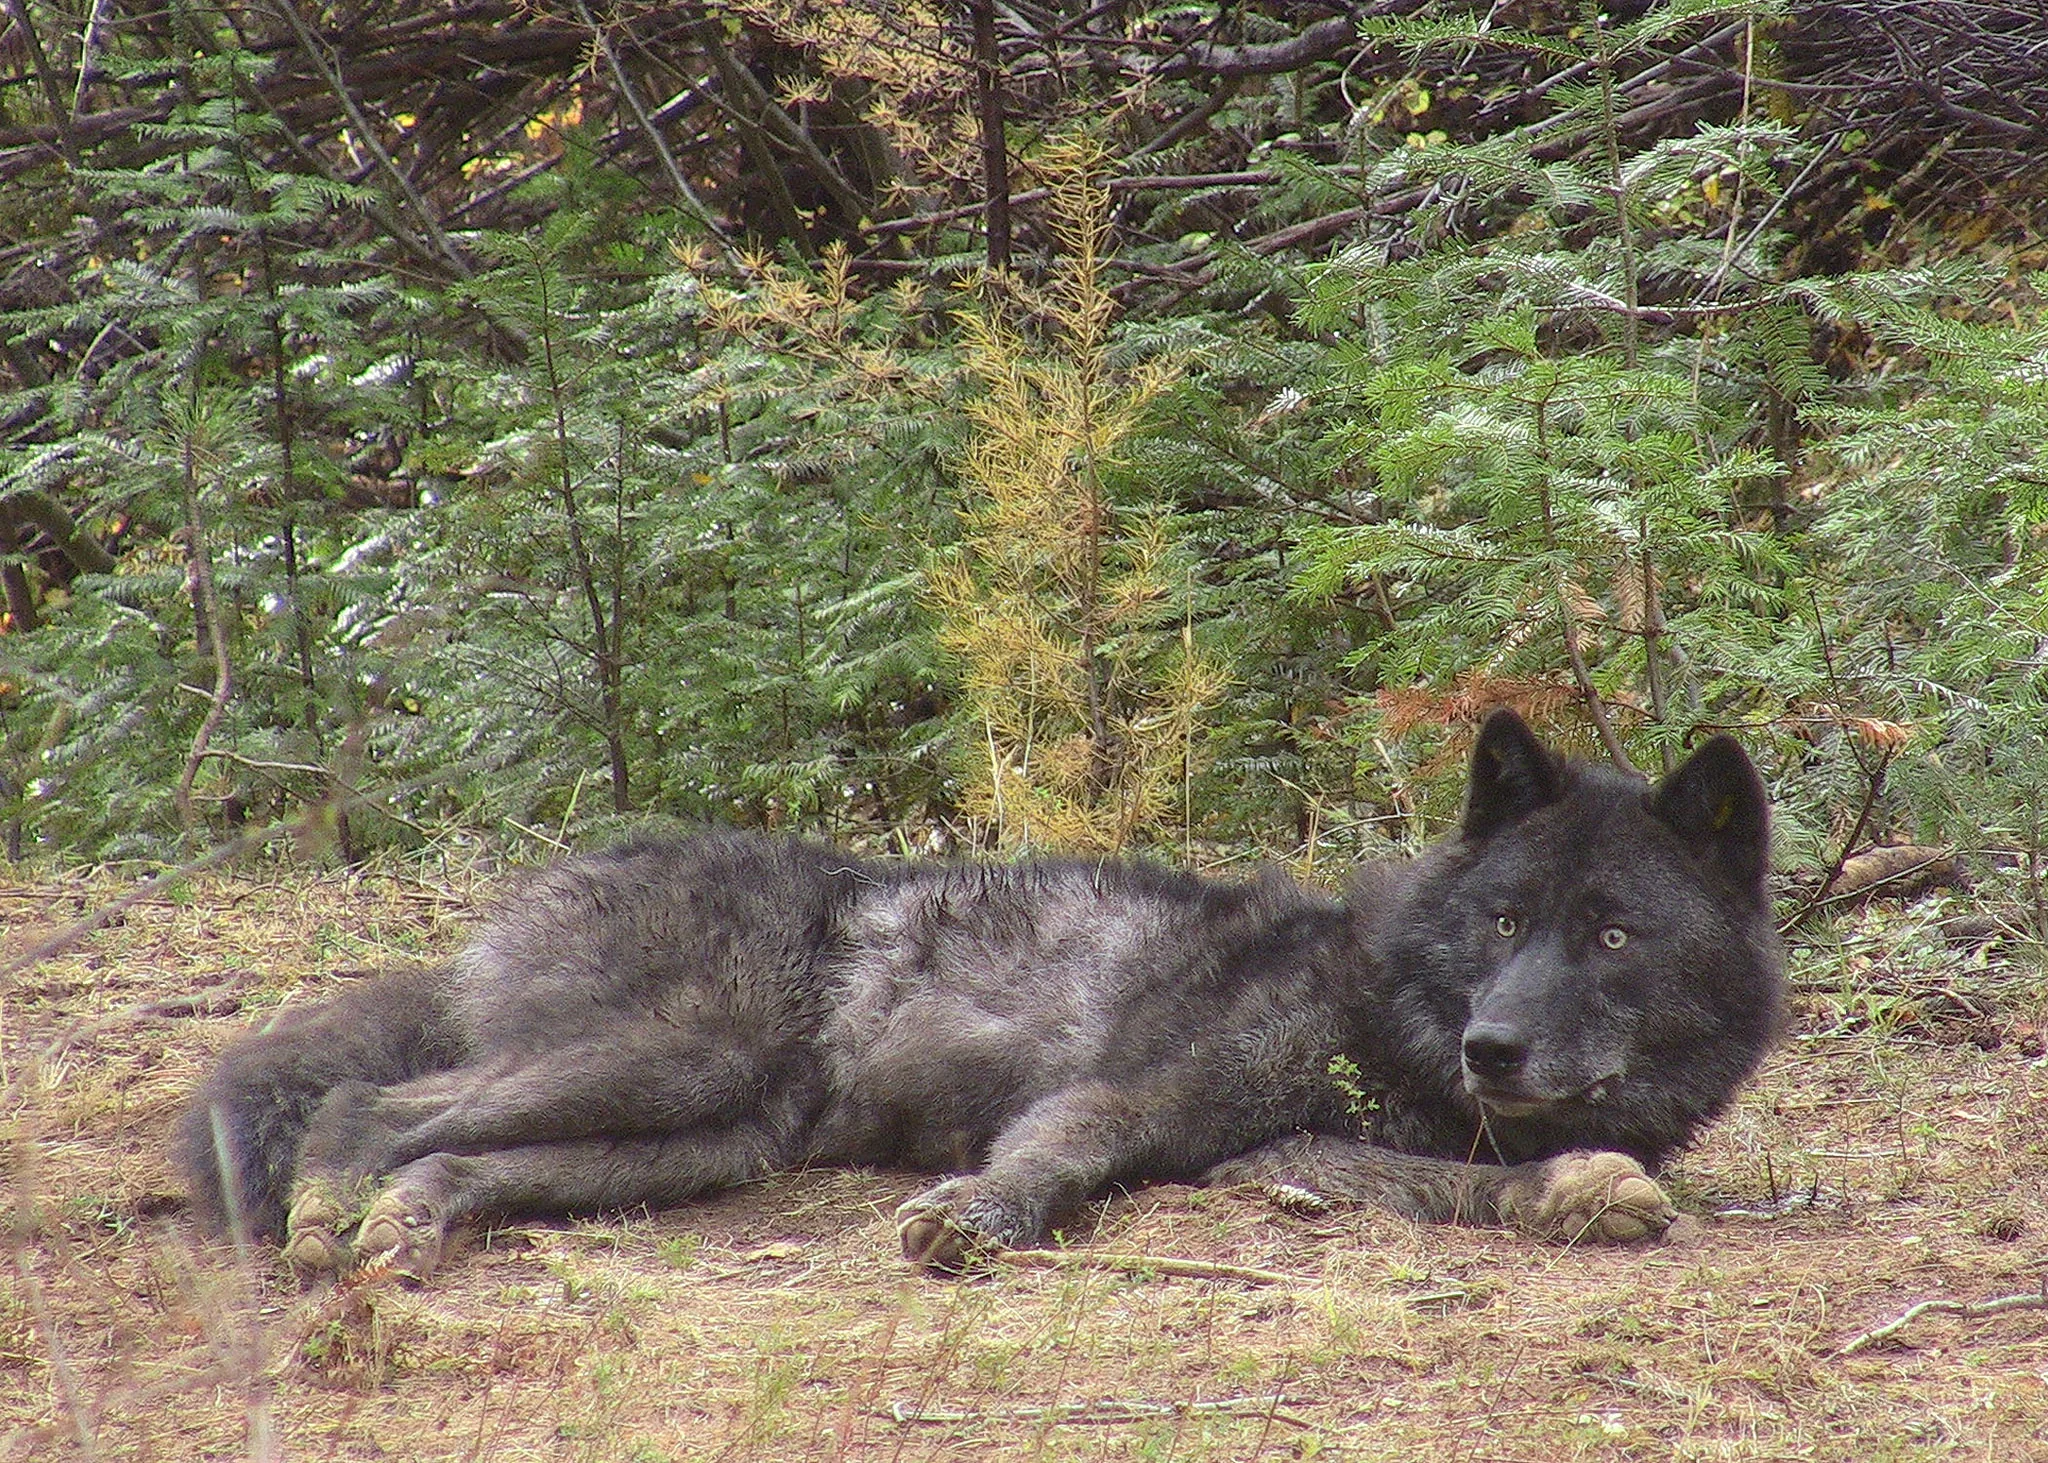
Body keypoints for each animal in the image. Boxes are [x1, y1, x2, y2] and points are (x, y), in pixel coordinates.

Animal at [178, 710, 1785, 1278]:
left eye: (1613, 934)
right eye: (1506, 917)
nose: (1493, 1043)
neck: (1388, 989)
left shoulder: (1283, 1151)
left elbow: (1472, 1182)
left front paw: (1579, 1185)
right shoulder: (1135, 1095)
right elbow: (1063, 1150)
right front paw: (979, 1216)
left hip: (695, 1139)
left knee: (444, 1154)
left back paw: (404, 1230)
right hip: (675, 1063)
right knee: (363, 1096)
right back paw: (323, 1224)